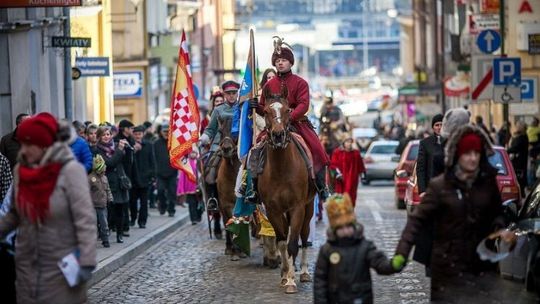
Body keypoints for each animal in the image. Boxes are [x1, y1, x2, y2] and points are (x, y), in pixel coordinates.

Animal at [258, 84, 316, 294]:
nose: (278, 135)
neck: (282, 168)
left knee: (304, 236)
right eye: (266, 111)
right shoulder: (273, 210)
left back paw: (305, 272)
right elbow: (282, 242)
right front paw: (285, 276)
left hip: (308, 207)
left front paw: (292, 281)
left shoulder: (297, 207)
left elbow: (292, 244)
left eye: (288, 110)